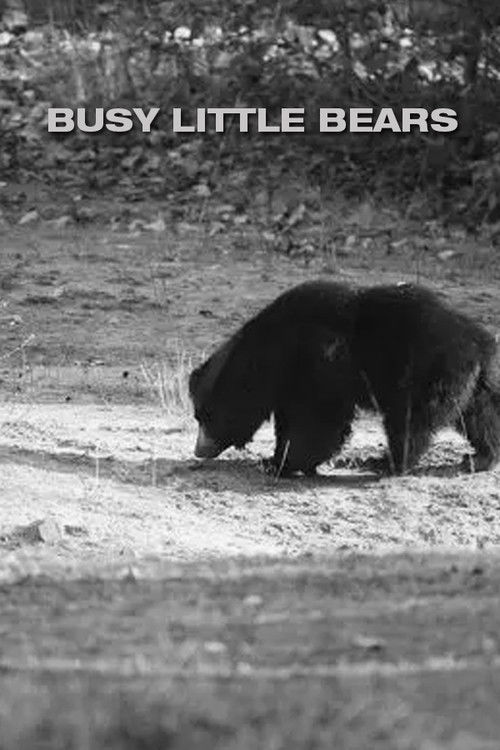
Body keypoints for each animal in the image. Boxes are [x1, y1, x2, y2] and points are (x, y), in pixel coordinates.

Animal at [189, 281, 500, 476]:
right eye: (198, 416)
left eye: (207, 417)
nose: (198, 451)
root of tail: (479, 344)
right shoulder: (289, 382)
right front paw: (278, 460)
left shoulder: (319, 363)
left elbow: (318, 419)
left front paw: (278, 464)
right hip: (474, 385)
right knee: (482, 417)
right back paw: (480, 458)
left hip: (424, 373)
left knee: (409, 421)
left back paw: (385, 463)